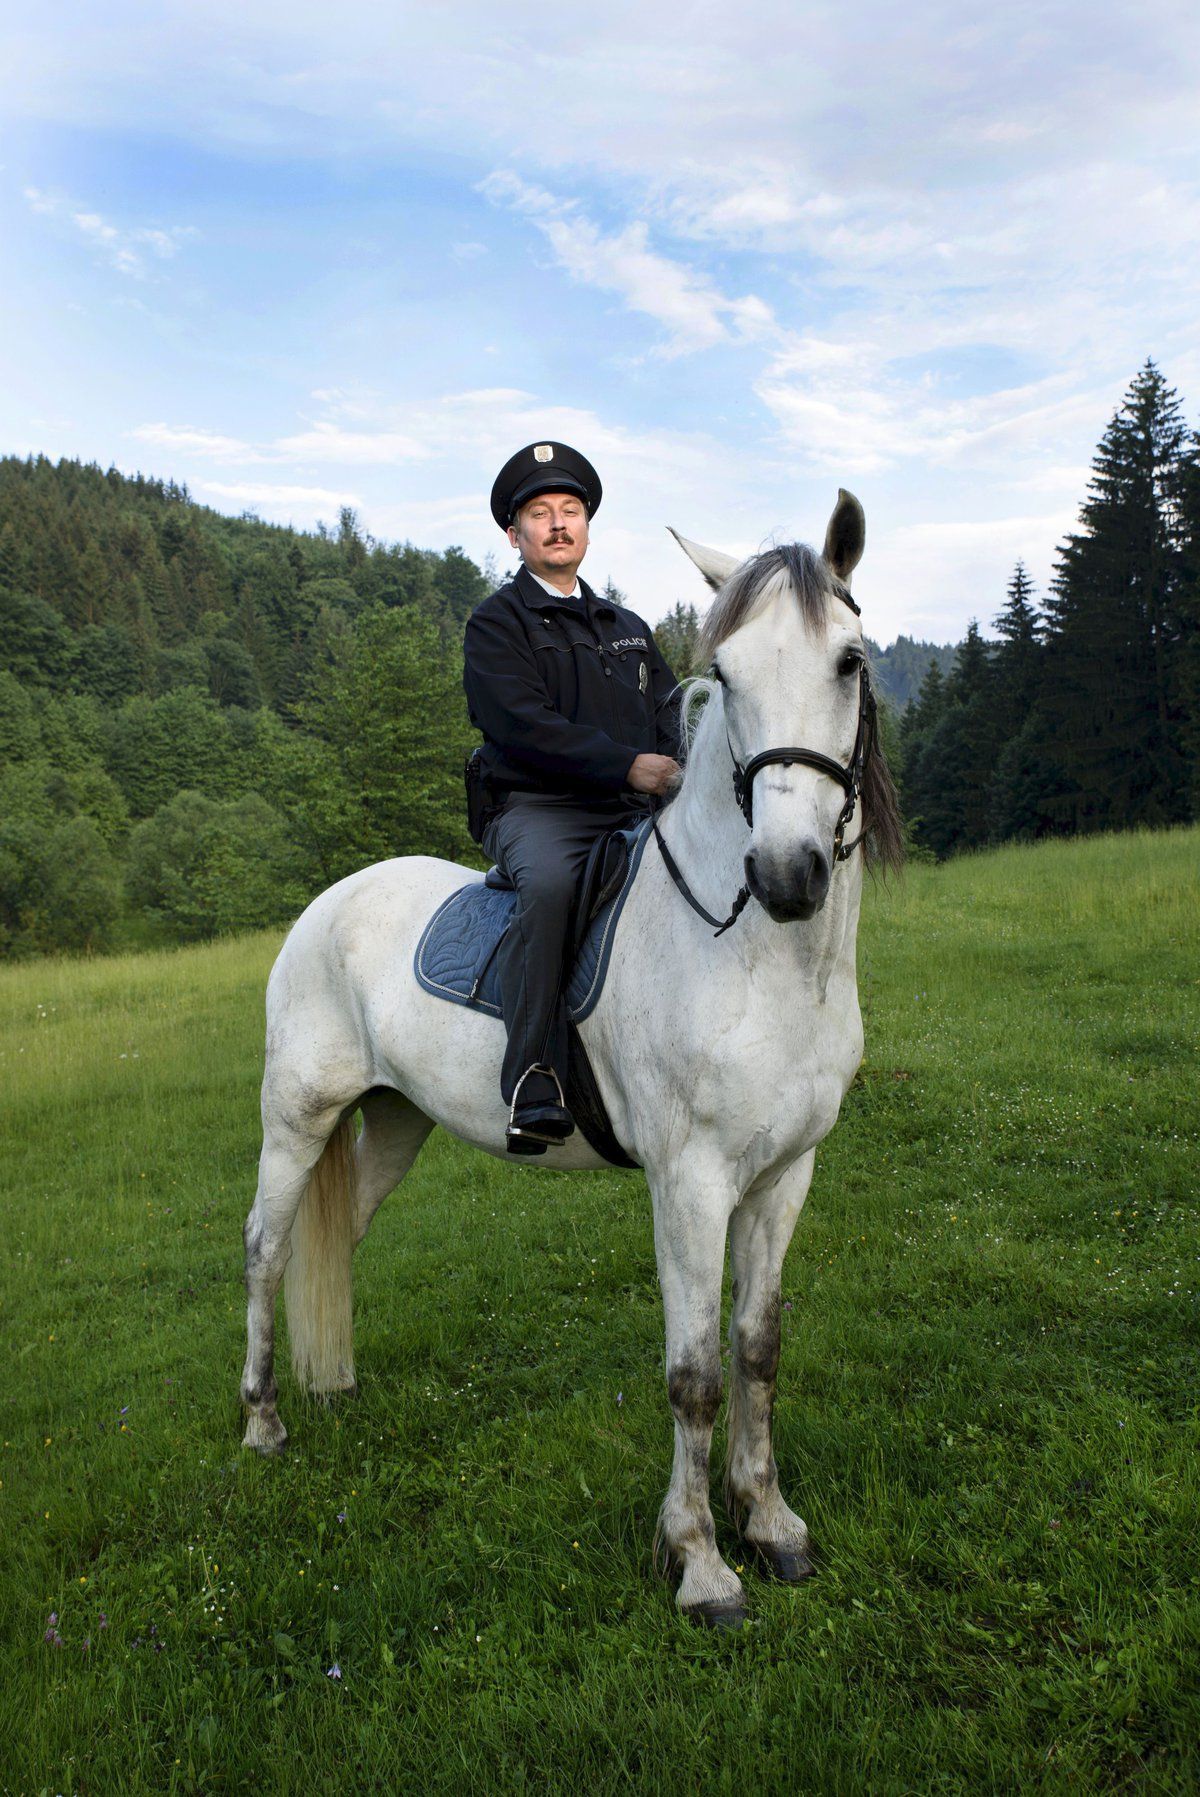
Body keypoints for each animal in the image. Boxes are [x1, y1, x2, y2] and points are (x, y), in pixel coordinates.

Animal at [240, 492, 898, 1631]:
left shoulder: (784, 1174)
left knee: (339, 1240)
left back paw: (335, 1387)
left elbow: (758, 1348)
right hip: (298, 1120)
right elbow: (693, 1372)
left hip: (394, 1123)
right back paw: (264, 1424)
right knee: (266, 1251)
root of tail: (331, 902)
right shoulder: (691, 1183)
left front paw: (772, 1525)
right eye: (726, 674)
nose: (786, 874)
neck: (759, 956)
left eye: (849, 661)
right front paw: (700, 1564)